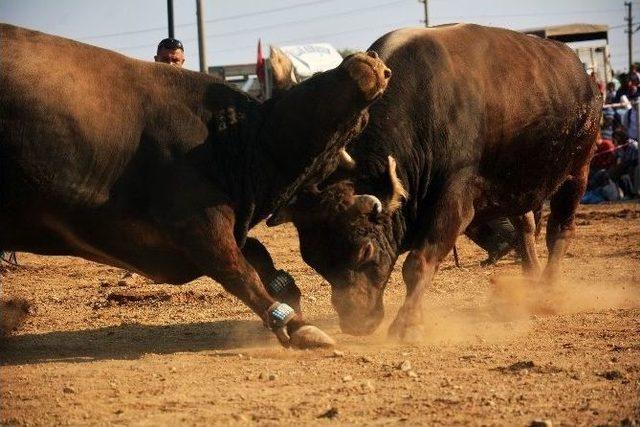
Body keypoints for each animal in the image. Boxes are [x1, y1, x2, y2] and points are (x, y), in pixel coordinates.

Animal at [268, 25, 600, 342]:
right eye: (314, 260)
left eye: (365, 250)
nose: (356, 323)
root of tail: (584, 76)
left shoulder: (455, 200)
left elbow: (418, 263)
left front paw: (408, 324)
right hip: (517, 183)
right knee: (525, 228)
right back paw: (530, 284)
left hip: (578, 171)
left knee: (559, 230)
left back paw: (547, 292)